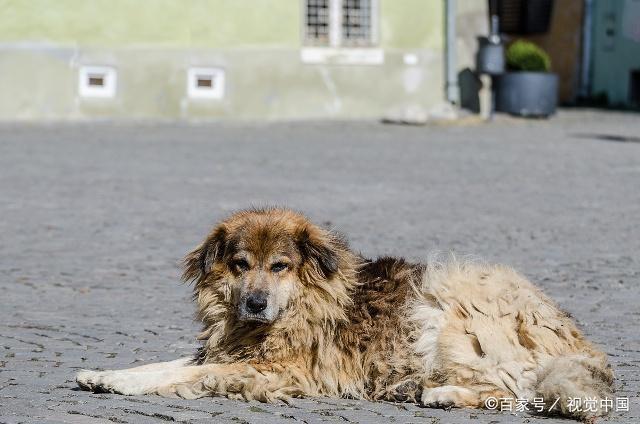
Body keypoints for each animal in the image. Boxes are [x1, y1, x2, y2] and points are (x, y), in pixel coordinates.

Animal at [77, 208, 612, 420]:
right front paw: (105, 375)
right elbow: (158, 367)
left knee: (512, 391)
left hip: (446, 308)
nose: (254, 303)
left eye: (280, 266)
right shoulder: (227, 352)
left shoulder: (279, 370)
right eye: (240, 265)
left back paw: (438, 392)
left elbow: (184, 377)